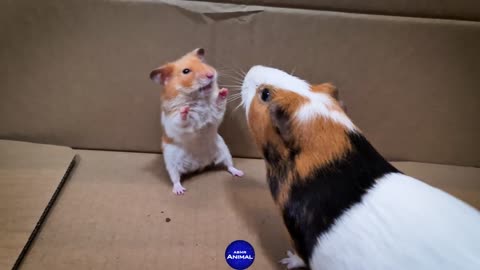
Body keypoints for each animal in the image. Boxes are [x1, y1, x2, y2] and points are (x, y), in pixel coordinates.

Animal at [149, 48, 244, 195]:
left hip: (224, 150)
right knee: (175, 178)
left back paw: (239, 173)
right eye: (186, 71)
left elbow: (218, 104)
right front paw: (185, 110)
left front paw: (223, 91)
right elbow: (181, 119)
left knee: (229, 165)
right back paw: (179, 191)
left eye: (202, 63)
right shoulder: (174, 120)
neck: (197, 97)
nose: (211, 74)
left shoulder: (214, 112)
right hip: (171, 161)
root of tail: (198, 163)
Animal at [240, 65, 480, 270]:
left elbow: (299, 255)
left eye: (265, 94)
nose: (252, 68)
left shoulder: (295, 233)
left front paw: (287, 260)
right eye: (304, 81)